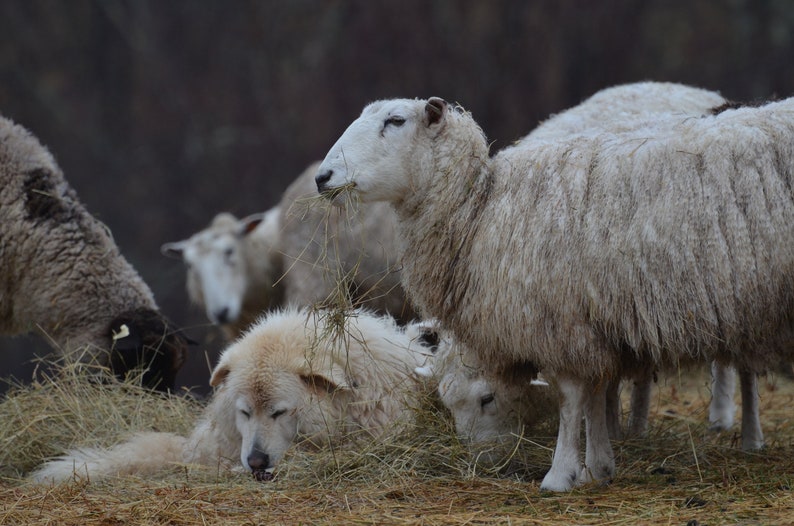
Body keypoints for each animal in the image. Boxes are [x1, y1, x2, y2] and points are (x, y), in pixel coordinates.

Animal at [316, 84, 792, 492]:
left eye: (395, 121)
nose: (323, 177)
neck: (478, 210)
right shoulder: (593, 323)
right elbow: (598, 391)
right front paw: (600, 465)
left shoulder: (561, 320)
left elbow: (573, 397)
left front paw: (562, 473)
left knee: (742, 368)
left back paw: (745, 433)